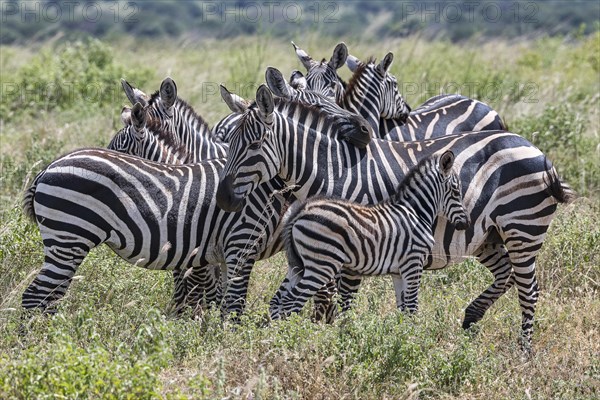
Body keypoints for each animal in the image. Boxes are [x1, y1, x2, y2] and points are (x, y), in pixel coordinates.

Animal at [270, 152, 472, 320]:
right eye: (456, 191)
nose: (467, 223)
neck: (416, 212)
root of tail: (302, 210)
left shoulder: (398, 271)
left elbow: (403, 308)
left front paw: (401, 335)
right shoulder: (413, 263)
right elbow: (412, 306)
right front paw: (413, 336)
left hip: (298, 264)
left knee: (278, 301)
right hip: (321, 265)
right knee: (292, 302)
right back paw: (293, 334)